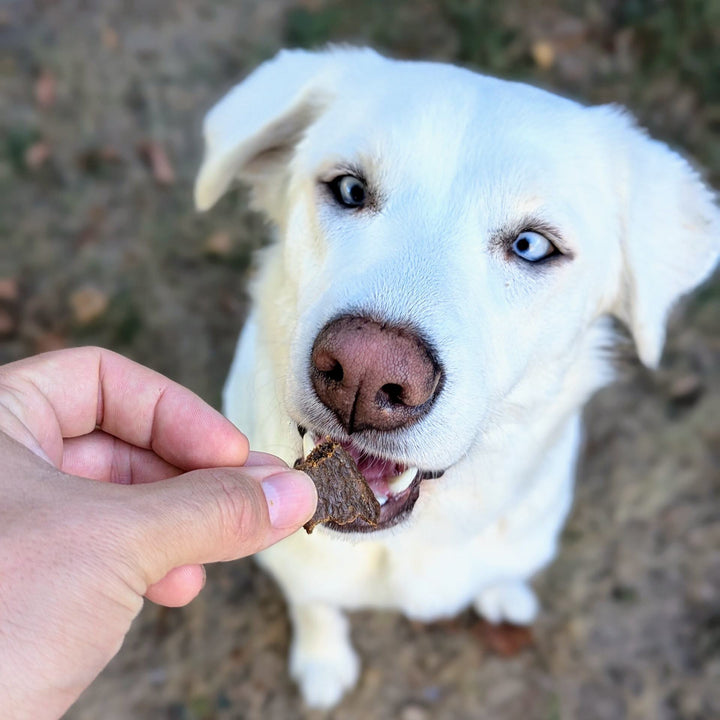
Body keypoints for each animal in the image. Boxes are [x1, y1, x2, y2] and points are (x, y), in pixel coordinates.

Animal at [193, 47, 720, 704]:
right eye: (349, 189)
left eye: (530, 246)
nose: (365, 375)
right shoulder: (294, 562)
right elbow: (316, 604)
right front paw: (322, 660)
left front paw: (503, 592)